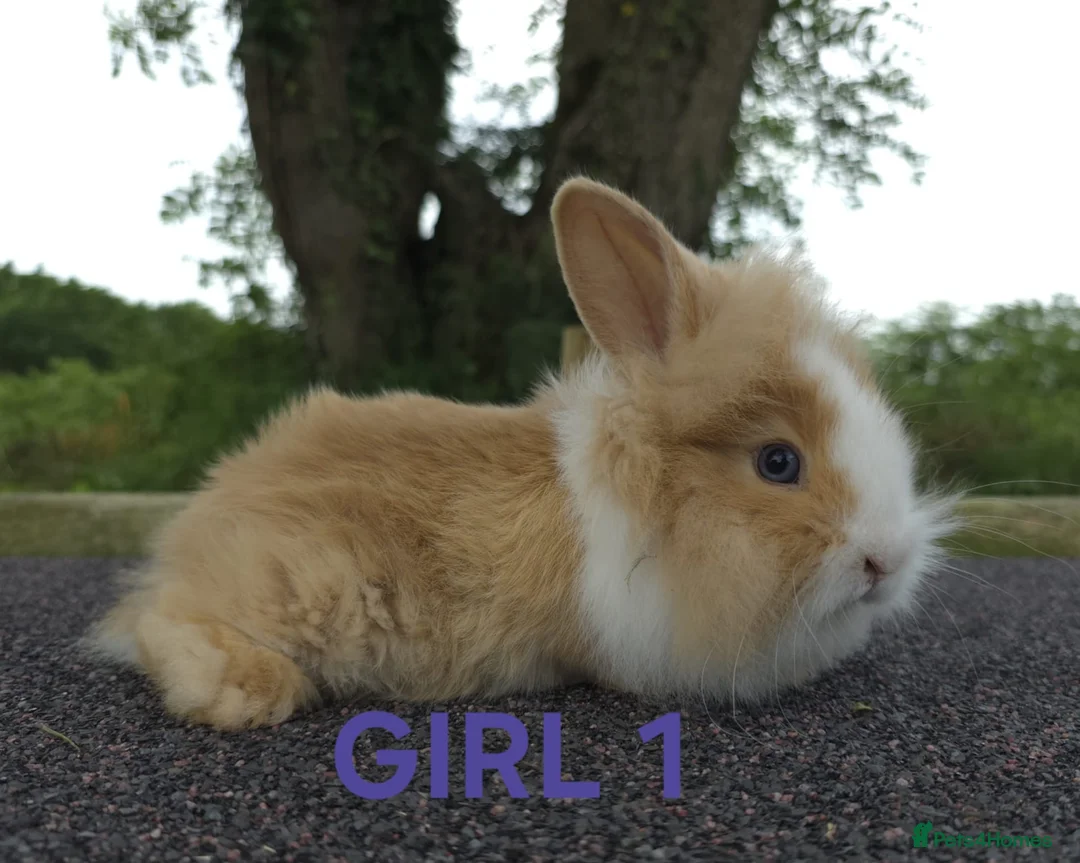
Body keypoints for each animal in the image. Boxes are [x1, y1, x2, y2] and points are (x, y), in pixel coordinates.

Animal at [88, 177, 958, 730]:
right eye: (778, 463)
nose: (887, 560)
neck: (656, 506)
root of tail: (194, 528)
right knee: (159, 622)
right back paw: (252, 690)